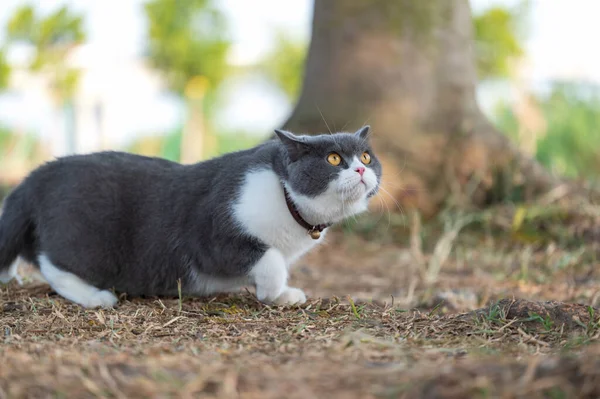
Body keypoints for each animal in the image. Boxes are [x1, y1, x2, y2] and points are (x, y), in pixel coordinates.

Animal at [0, 126, 382, 308]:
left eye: (366, 155)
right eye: (333, 159)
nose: (362, 169)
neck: (284, 196)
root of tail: (36, 176)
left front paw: (280, 294)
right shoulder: (211, 236)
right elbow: (270, 259)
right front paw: (274, 291)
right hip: (86, 240)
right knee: (52, 264)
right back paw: (96, 297)